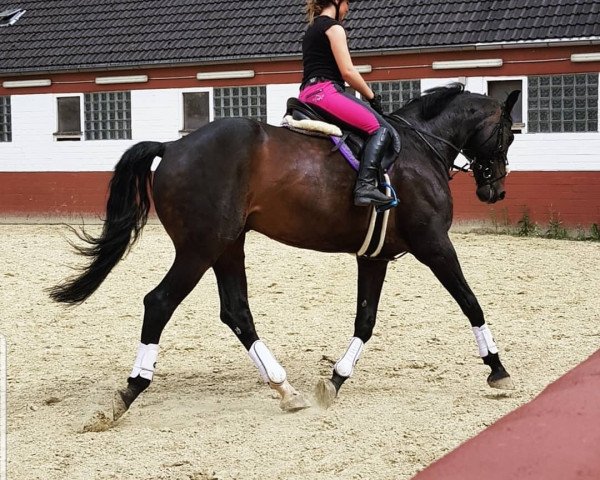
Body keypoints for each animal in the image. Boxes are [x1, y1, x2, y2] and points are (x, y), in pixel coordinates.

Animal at [50, 83, 520, 420]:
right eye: (507, 135)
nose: (495, 190)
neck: (422, 146)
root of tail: (173, 146)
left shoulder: (374, 257)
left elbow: (365, 320)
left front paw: (334, 380)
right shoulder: (434, 244)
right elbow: (470, 302)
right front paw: (497, 368)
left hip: (227, 245)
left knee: (236, 311)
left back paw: (285, 389)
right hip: (200, 247)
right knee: (160, 301)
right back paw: (131, 389)